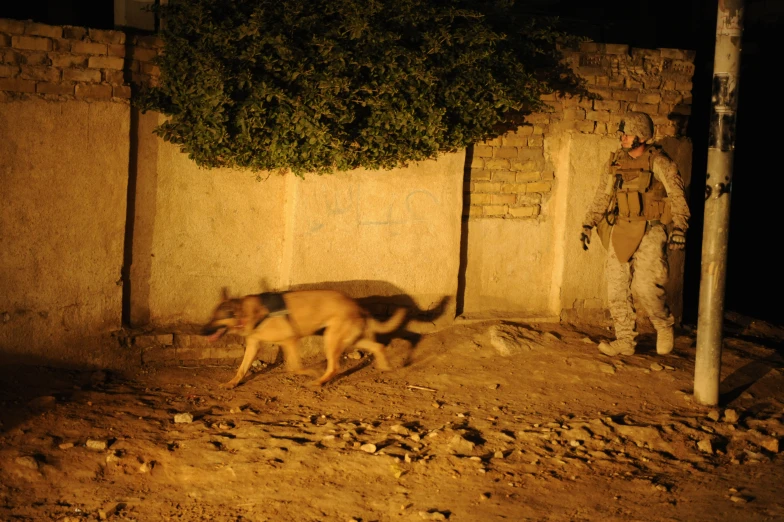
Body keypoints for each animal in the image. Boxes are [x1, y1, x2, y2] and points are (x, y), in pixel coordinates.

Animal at [199, 286, 408, 388]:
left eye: (216, 318)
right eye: (211, 316)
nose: (201, 331)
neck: (247, 313)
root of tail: (357, 306)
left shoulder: (290, 341)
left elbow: (294, 367)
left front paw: (311, 372)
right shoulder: (253, 345)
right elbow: (241, 369)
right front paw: (232, 383)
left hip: (330, 340)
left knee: (335, 366)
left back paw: (319, 381)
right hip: (348, 338)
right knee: (378, 346)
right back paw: (384, 366)